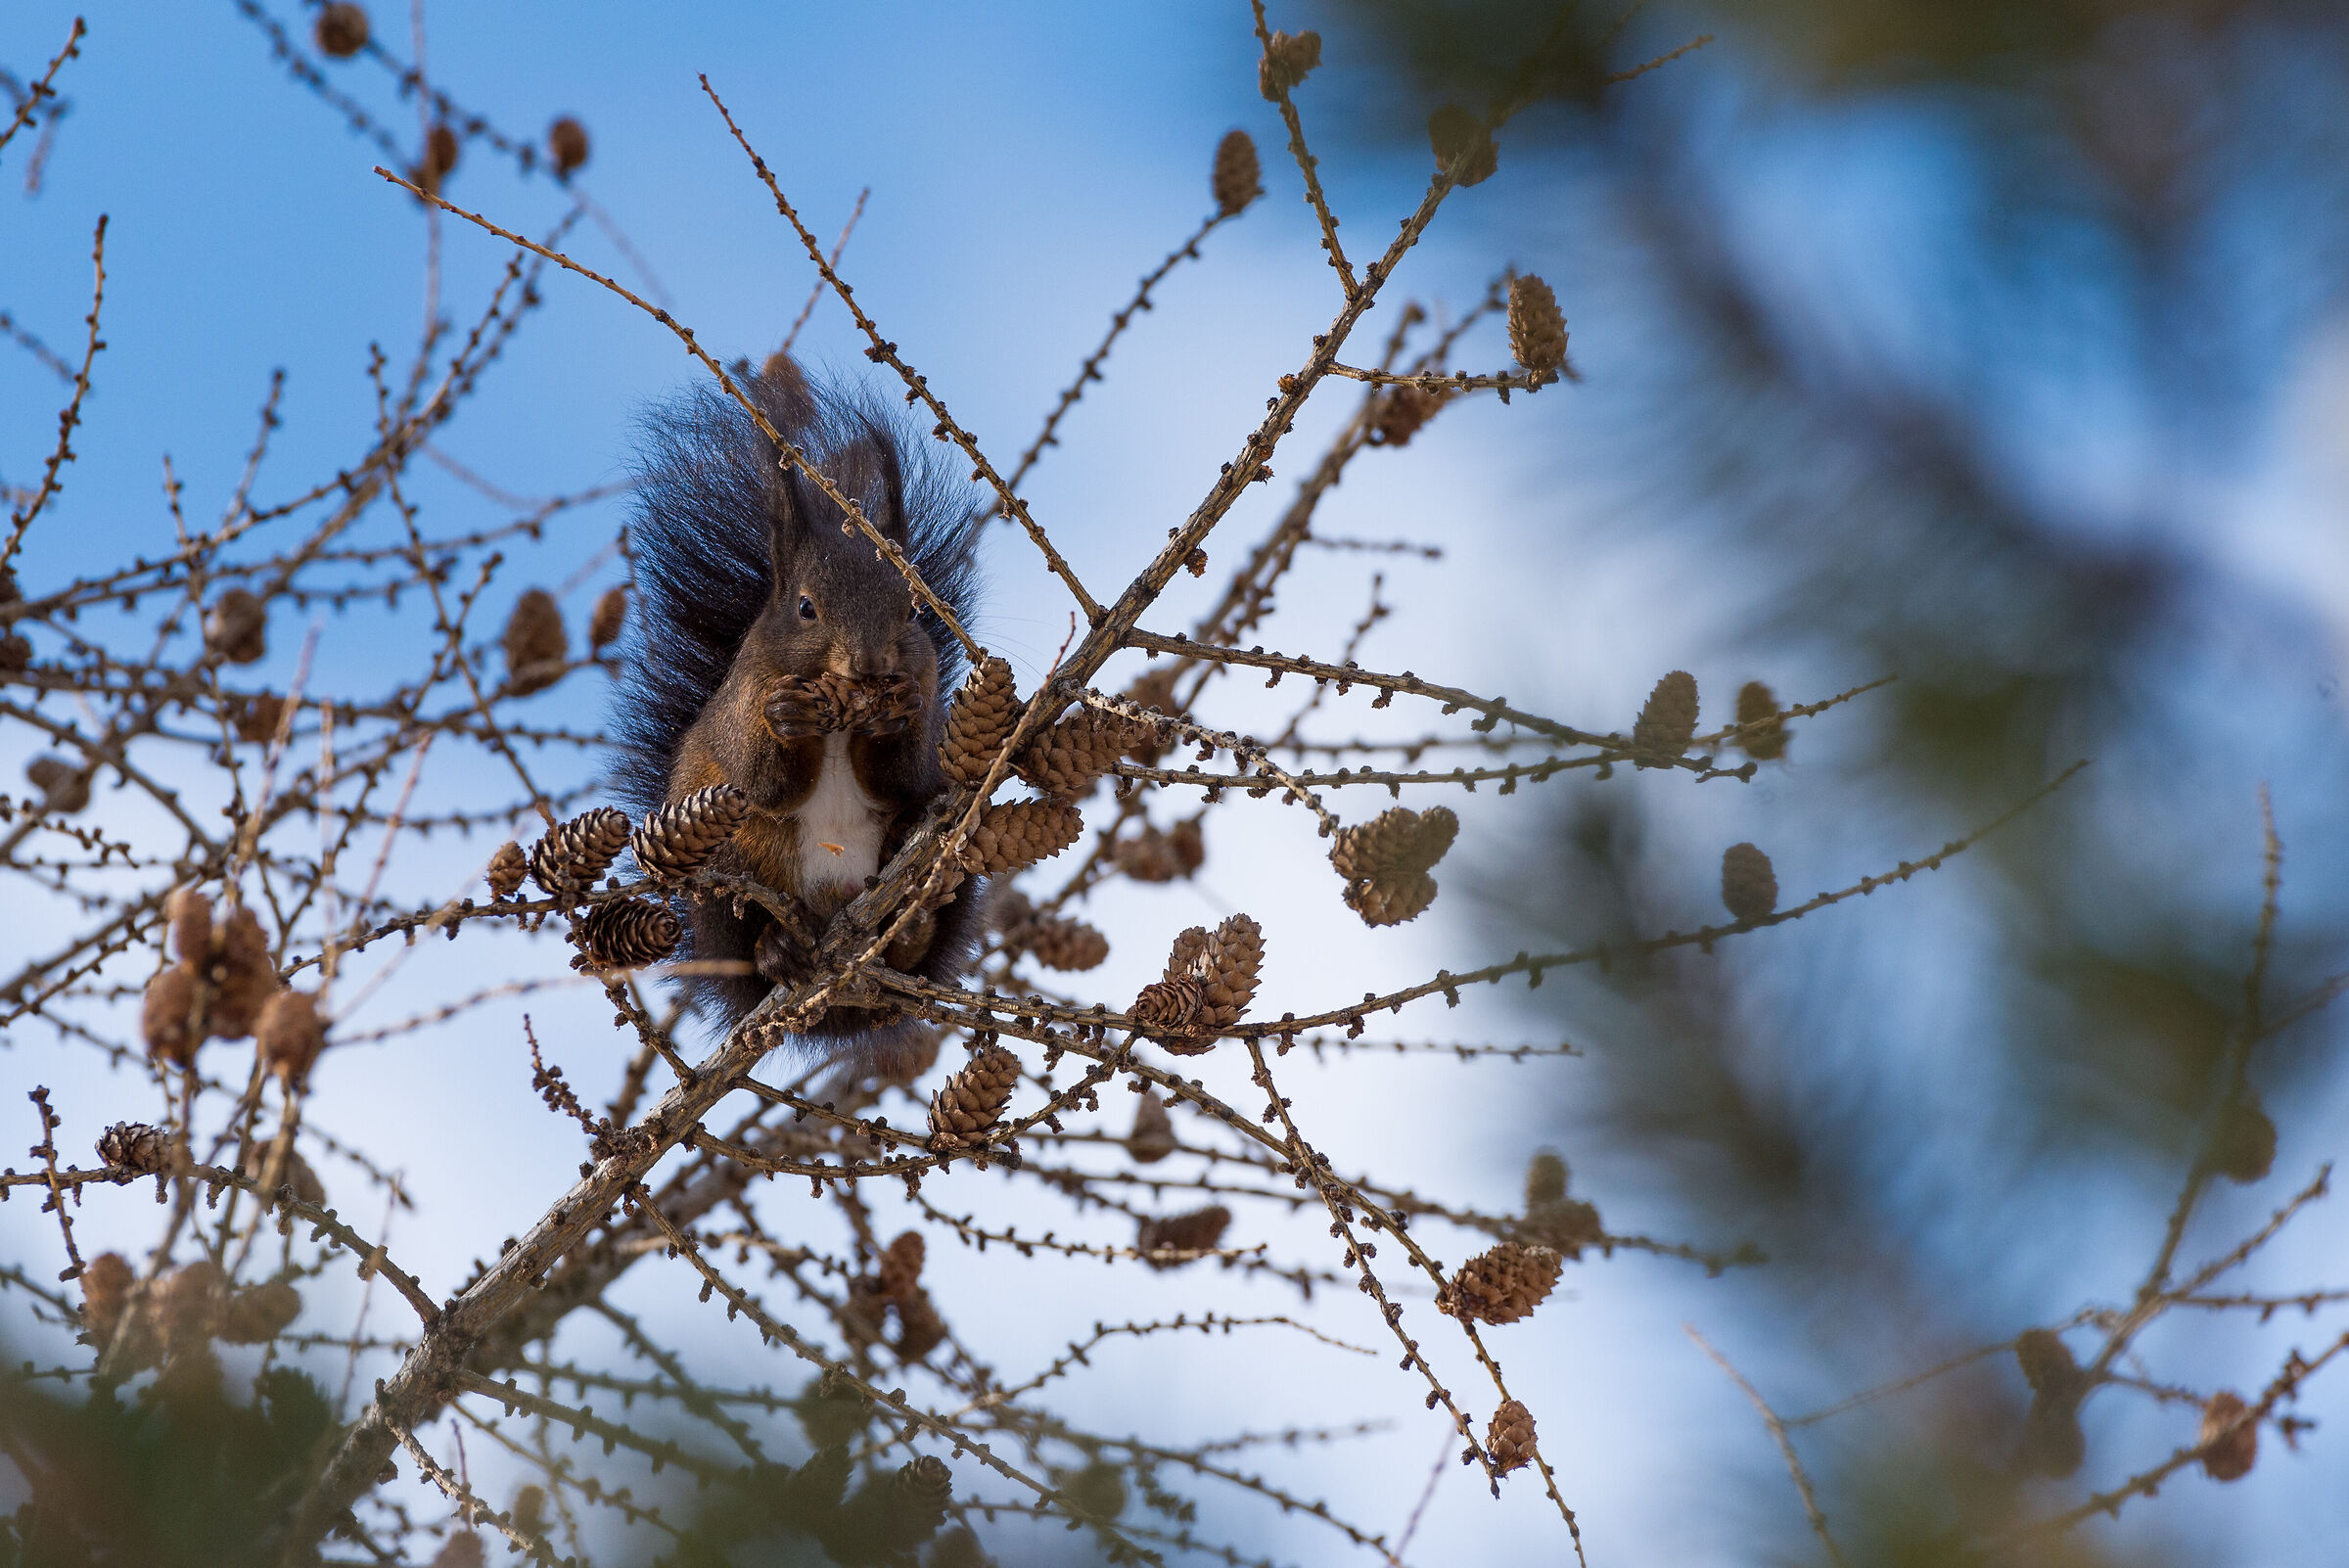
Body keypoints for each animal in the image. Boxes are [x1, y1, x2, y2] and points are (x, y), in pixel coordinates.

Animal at [610, 357, 985, 1055]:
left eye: (912, 609)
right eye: (806, 607)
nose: (869, 666)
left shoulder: (922, 720)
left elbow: (903, 775)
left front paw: (894, 713)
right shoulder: (741, 707)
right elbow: (761, 781)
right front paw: (786, 721)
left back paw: (916, 916)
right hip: (722, 873)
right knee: (747, 937)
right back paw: (777, 949)